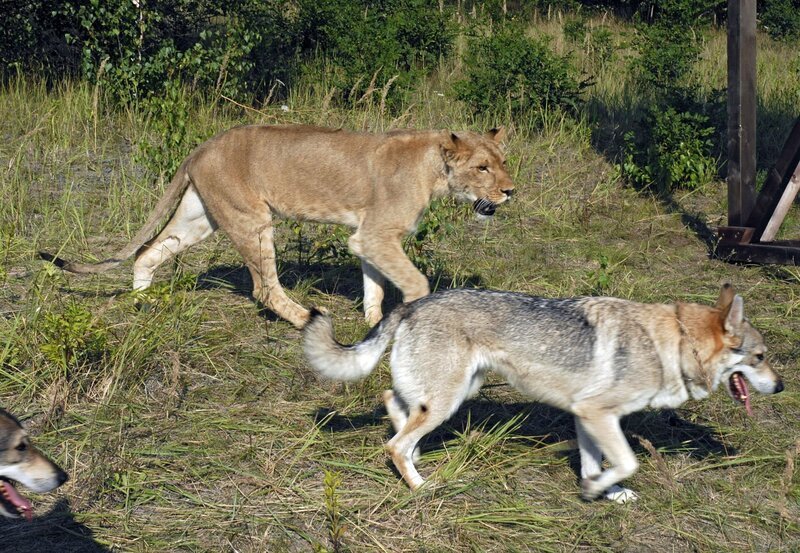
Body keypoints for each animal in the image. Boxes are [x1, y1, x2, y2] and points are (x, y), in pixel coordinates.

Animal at [303, 284, 784, 502]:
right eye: (760, 357)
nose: (780, 386)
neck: (676, 342)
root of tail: (412, 304)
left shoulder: (587, 417)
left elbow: (597, 463)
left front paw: (602, 491)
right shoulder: (597, 414)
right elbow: (627, 461)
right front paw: (598, 490)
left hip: (452, 393)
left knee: (394, 409)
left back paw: (417, 458)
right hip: (447, 400)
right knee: (394, 443)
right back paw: (422, 485)